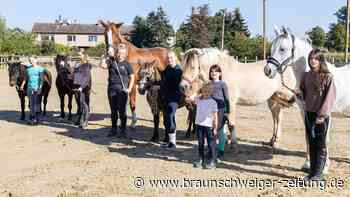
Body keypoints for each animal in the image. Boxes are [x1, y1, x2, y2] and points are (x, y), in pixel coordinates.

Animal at [262, 26, 350, 172]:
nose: (267, 71)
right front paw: (307, 164)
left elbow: (325, 139)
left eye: (282, 49)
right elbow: (308, 137)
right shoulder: (305, 112)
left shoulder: (325, 114)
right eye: (272, 47)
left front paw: (324, 168)